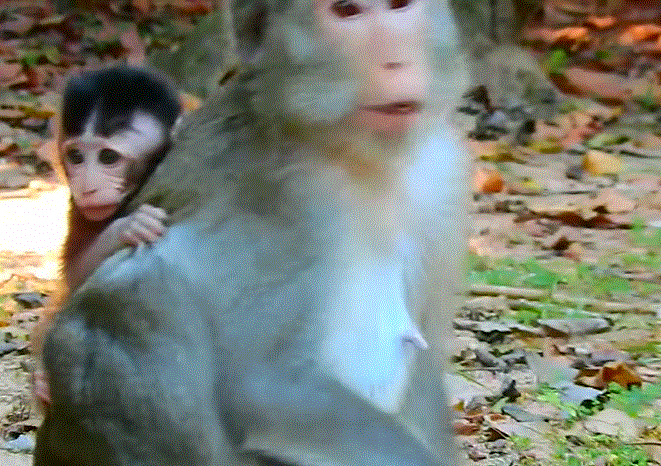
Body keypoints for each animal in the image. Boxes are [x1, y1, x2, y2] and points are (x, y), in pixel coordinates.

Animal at [34, 1, 468, 465]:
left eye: (399, 7)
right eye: (346, 11)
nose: (395, 62)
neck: (354, 156)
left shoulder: (443, 175)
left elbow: (424, 379)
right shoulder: (285, 199)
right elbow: (268, 388)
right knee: (137, 284)